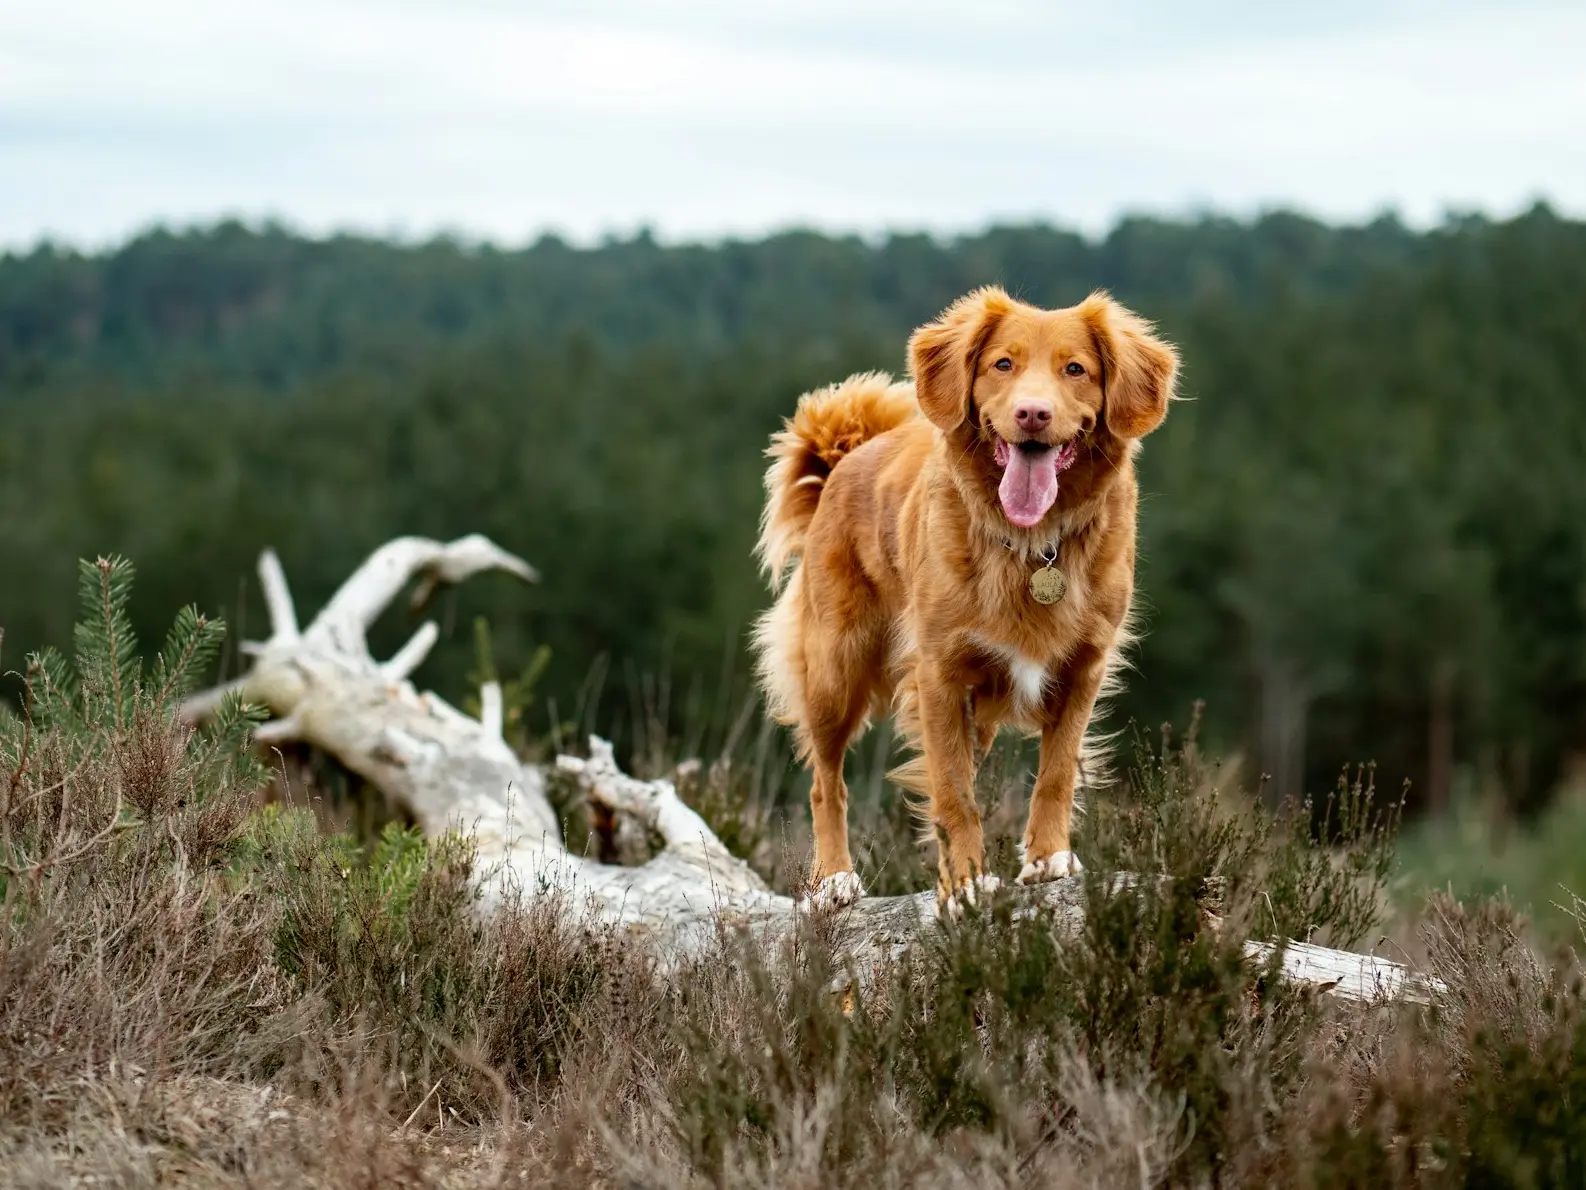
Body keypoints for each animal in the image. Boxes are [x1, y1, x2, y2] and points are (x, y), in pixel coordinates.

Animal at [751, 288, 1179, 913]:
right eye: (1002, 364)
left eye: (1076, 370)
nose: (1032, 414)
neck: (1031, 545)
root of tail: (848, 457)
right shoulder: (940, 676)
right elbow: (953, 791)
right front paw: (966, 886)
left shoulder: (1084, 667)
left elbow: (1056, 772)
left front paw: (1048, 858)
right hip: (836, 668)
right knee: (825, 783)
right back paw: (834, 879)